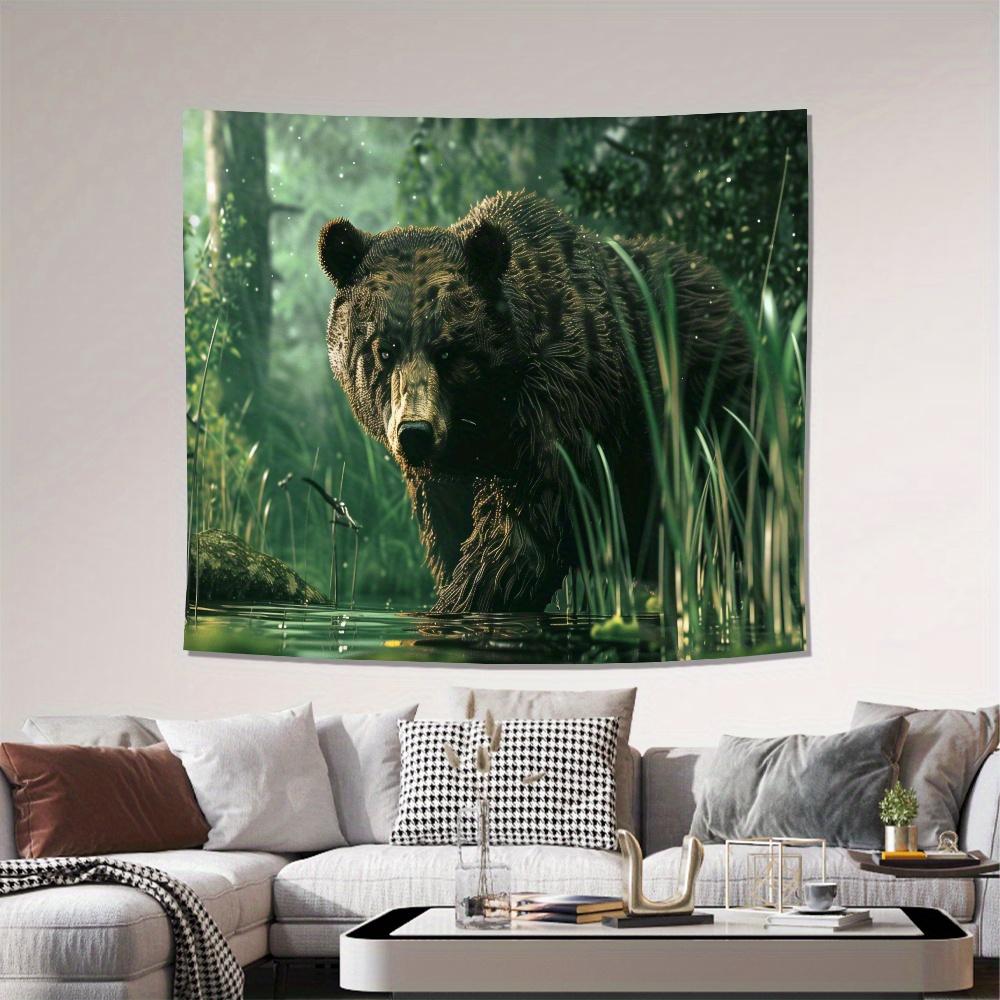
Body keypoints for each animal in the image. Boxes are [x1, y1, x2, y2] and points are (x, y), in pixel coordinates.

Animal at [318, 190, 749, 614]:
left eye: (448, 351)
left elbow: (519, 536)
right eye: (384, 349)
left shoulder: (560, 407)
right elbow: (450, 535)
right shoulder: (443, 481)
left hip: (708, 414)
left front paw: (463, 599)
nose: (415, 432)